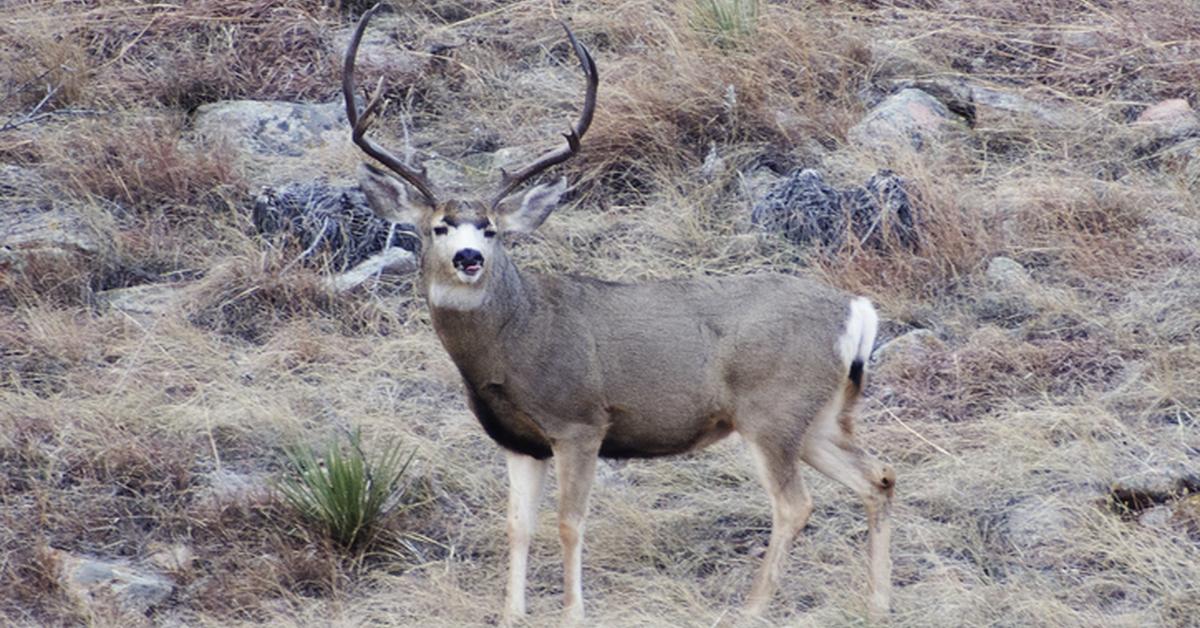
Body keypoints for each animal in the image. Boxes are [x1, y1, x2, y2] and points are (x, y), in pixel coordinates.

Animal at [343, 4, 897, 619]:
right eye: (439, 227)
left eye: (491, 229)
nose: (469, 258)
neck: (515, 339)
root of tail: (857, 310)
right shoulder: (519, 441)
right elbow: (517, 526)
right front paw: (512, 613)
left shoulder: (581, 421)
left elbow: (569, 523)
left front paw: (572, 612)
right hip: (819, 416)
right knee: (879, 476)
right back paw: (878, 604)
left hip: (771, 408)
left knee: (795, 504)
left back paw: (752, 609)